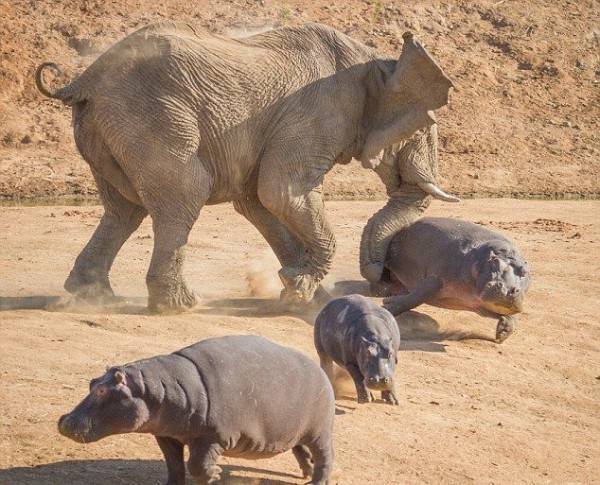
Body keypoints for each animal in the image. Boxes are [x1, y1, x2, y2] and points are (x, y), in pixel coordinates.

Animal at [35, 20, 452, 312]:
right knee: (184, 194)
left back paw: (93, 297)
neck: (376, 62)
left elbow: (259, 201)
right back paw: (179, 307)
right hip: (152, 117)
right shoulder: (317, 114)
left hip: (105, 128)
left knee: (124, 210)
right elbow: (280, 191)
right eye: (422, 127)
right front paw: (301, 289)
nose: (380, 281)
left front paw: (301, 292)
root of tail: (85, 79)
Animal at [58, 334, 336, 482]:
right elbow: (174, 466)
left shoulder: (212, 437)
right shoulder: (166, 435)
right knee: (300, 449)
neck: (157, 388)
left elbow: (197, 466)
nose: (63, 421)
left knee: (326, 456)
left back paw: (316, 481)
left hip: (320, 431)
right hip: (295, 430)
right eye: (92, 382)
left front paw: (215, 474)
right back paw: (306, 473)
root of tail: (321, 371)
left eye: (103, 391)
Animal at [378, 217, 532, 342]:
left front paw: (502, 334)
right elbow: (415, 297)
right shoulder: (436, 278)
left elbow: (508, 317)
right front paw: (387, 307)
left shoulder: (478, 305)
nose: (508, 290)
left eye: (525, 272)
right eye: (494, 262)